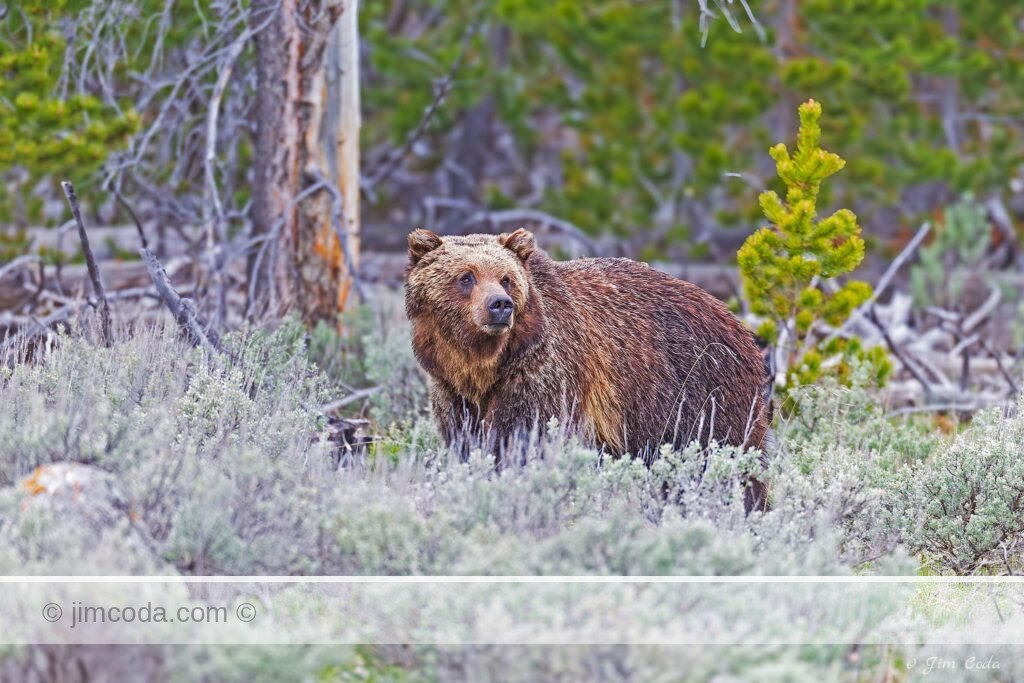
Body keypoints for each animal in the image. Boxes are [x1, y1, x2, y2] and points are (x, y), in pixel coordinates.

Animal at [404, 228, 772, 509]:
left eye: (506, 279)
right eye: (466, 277)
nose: (500, 305)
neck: (484, 368)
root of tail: (739, 324)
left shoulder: (542, 377)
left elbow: (522, 439)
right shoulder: (453, 392)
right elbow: (468, 443)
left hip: (706, 394)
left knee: (734, 461)